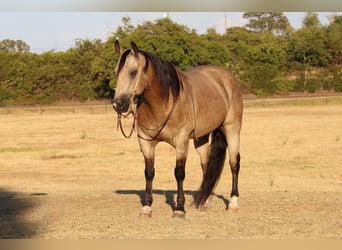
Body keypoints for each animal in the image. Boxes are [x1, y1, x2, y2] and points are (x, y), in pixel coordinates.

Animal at [112, 40, 243, 218]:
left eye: (133, 72)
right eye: (116, 72)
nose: (118, 104)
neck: (164, 102)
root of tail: (228, 78)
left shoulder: (181, 143)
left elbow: (179, 173)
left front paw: (179, 208)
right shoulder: (146, 143)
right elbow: (149, 172)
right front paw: (147, 207)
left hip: (232, 130)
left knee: (234, 163)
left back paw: (233, 203)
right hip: (201, 137)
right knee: (207, 165)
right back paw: (204, 201)